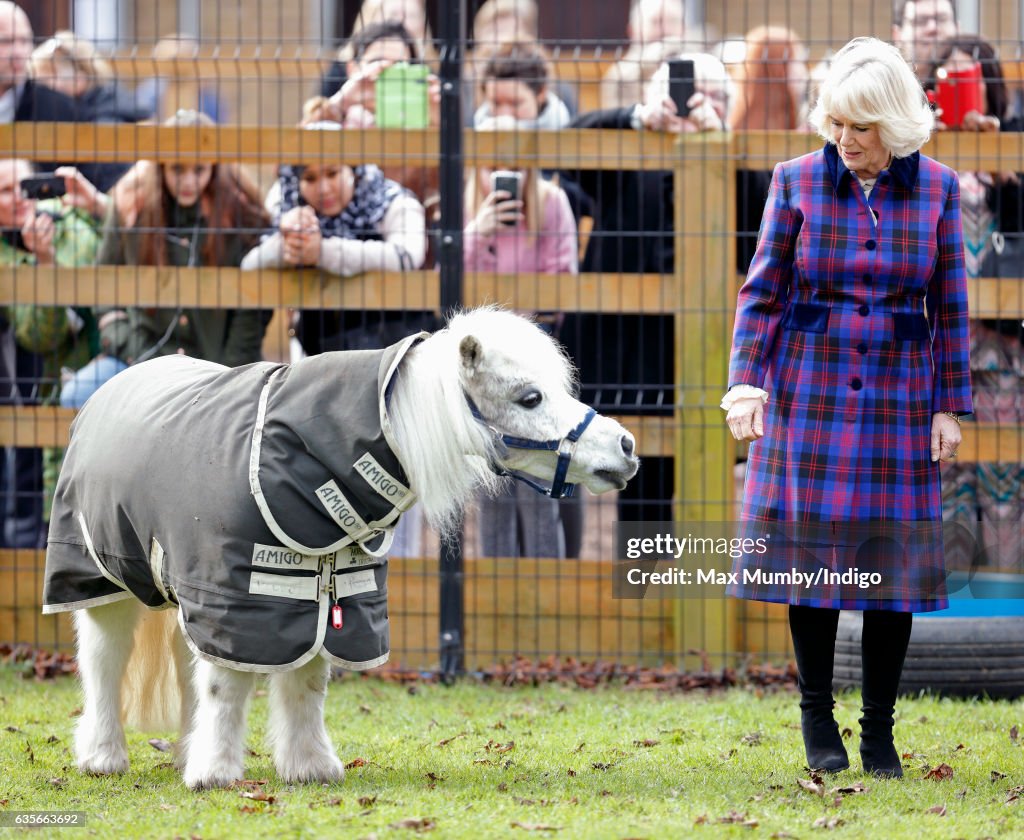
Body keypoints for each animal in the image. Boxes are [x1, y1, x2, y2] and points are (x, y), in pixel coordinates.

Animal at [54, 307, 638, 786]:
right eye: (529, 397)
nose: (626, 447)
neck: (306, 458)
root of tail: (114, 385)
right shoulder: (234, 596)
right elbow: (228, 685)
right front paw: (215, 774)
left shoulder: (331, 592)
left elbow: (308, 680)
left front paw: (309, 767)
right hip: (102, 581)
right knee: (104, 661)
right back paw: (103, 756)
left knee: (183, 662)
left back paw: (181, 752)